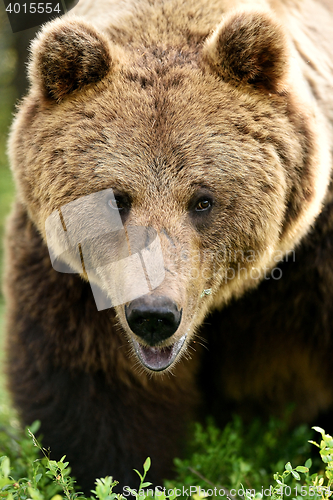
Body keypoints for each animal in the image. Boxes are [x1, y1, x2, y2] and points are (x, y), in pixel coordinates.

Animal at [3, 0, 332, 492]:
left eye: (203, 200)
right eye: (117, 199)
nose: (153, 314)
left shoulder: (313, 257)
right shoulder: (71, 275)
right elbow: (96, 392)